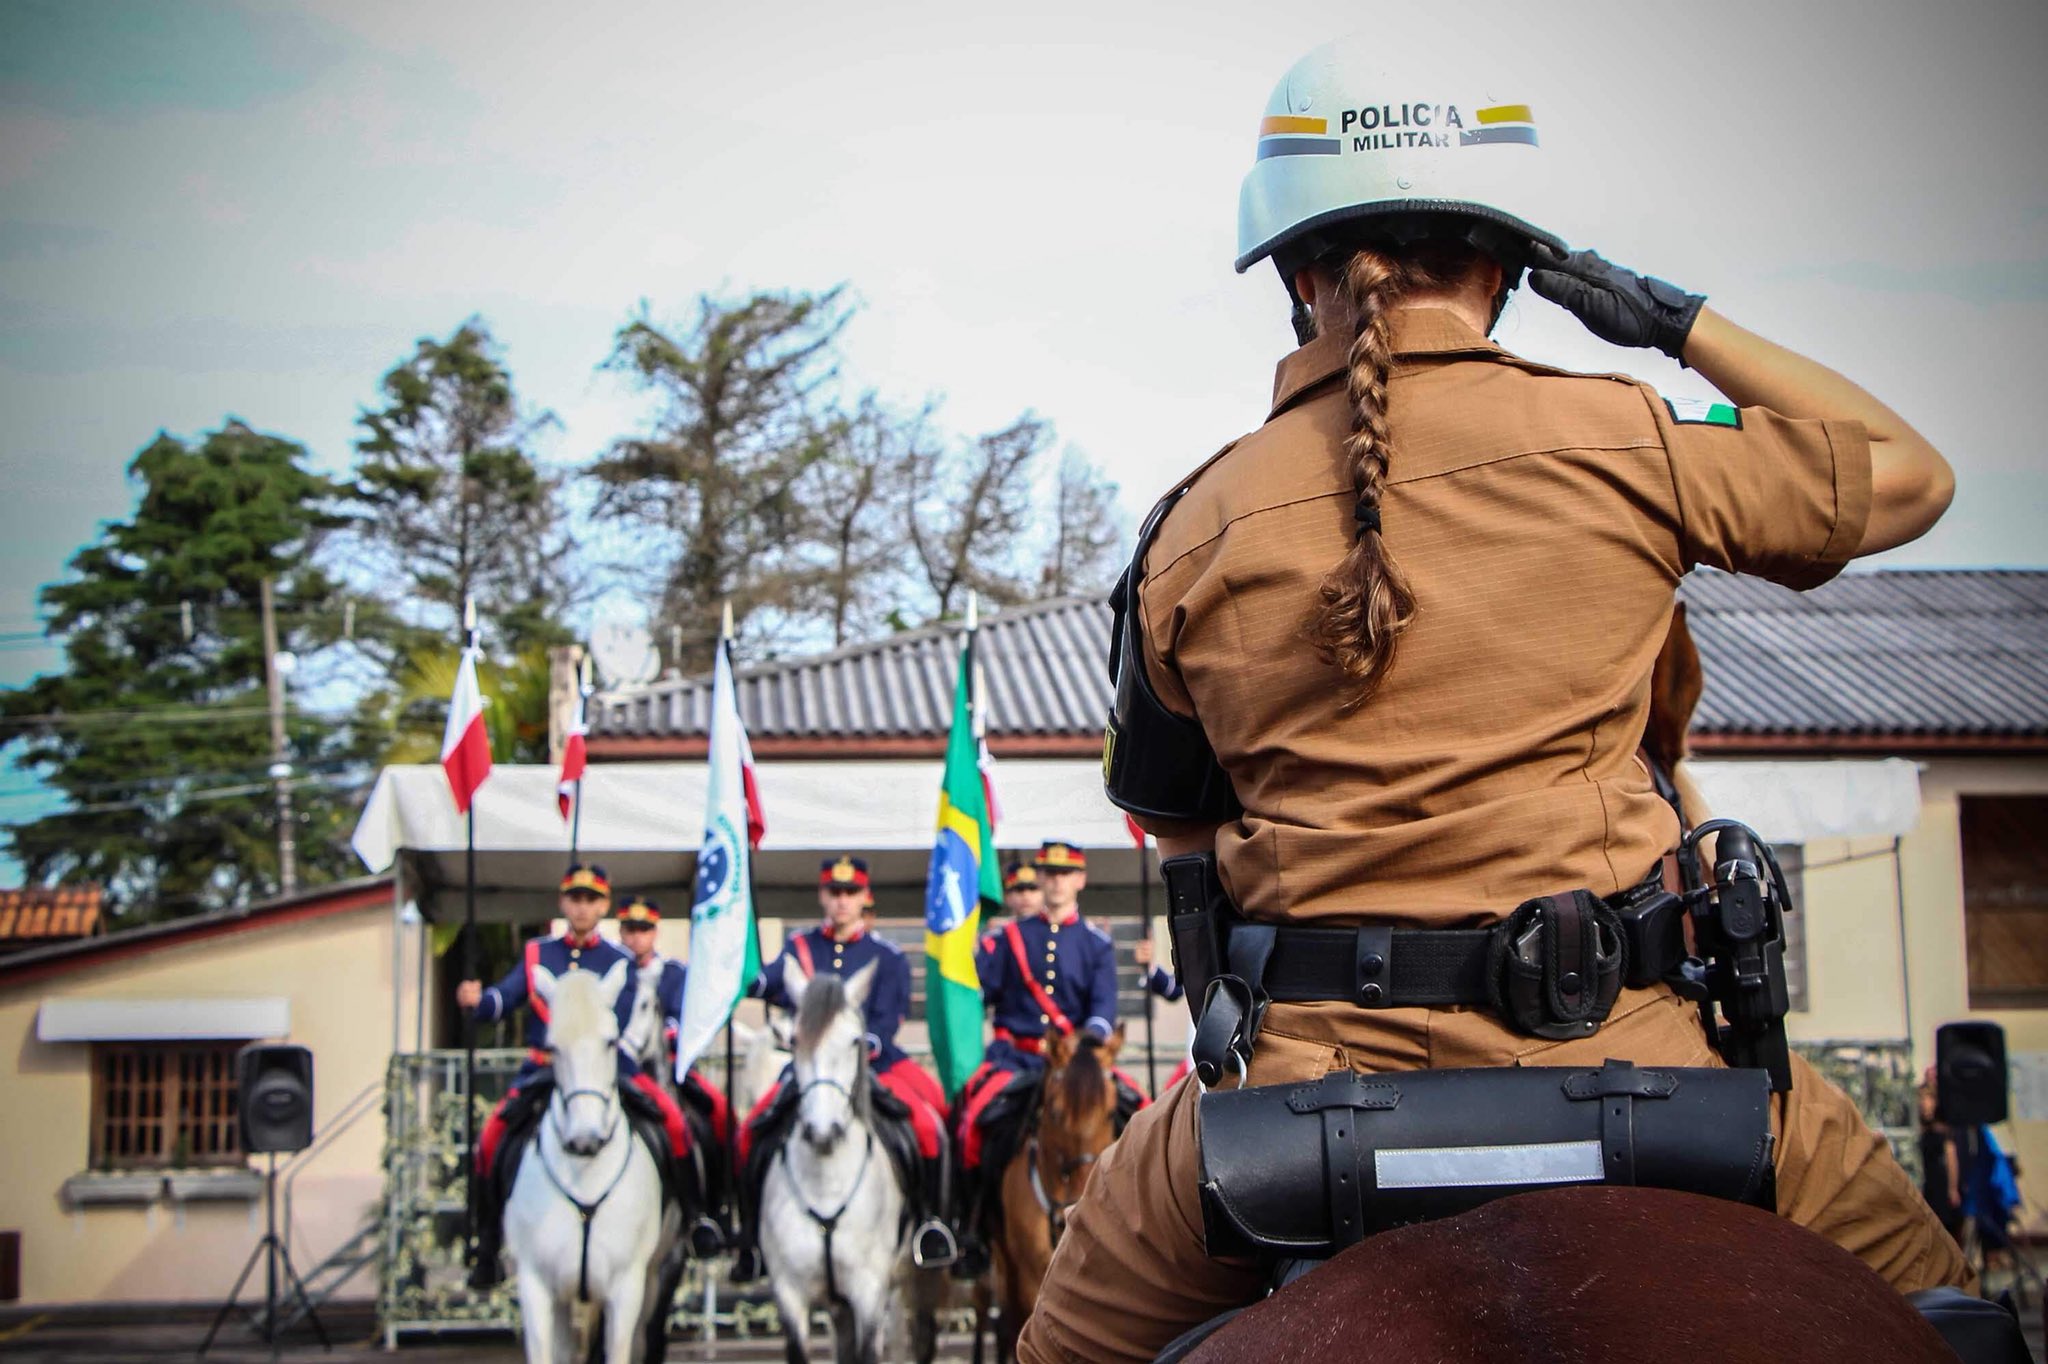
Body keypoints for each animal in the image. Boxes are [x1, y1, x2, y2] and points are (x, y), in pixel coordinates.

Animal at [505, 954, 679, 1359]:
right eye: (553, 1048)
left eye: (609, 1042)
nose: (584, 1138)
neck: (585, 1174)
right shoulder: (537, 1287)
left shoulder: (627, 1289)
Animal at [761, 954, 905, 1359]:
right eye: (794, 1040)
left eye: (855, 1040)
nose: (823, 1130)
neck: (827, 1184)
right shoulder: (790, 1295)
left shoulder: (869, 1294)